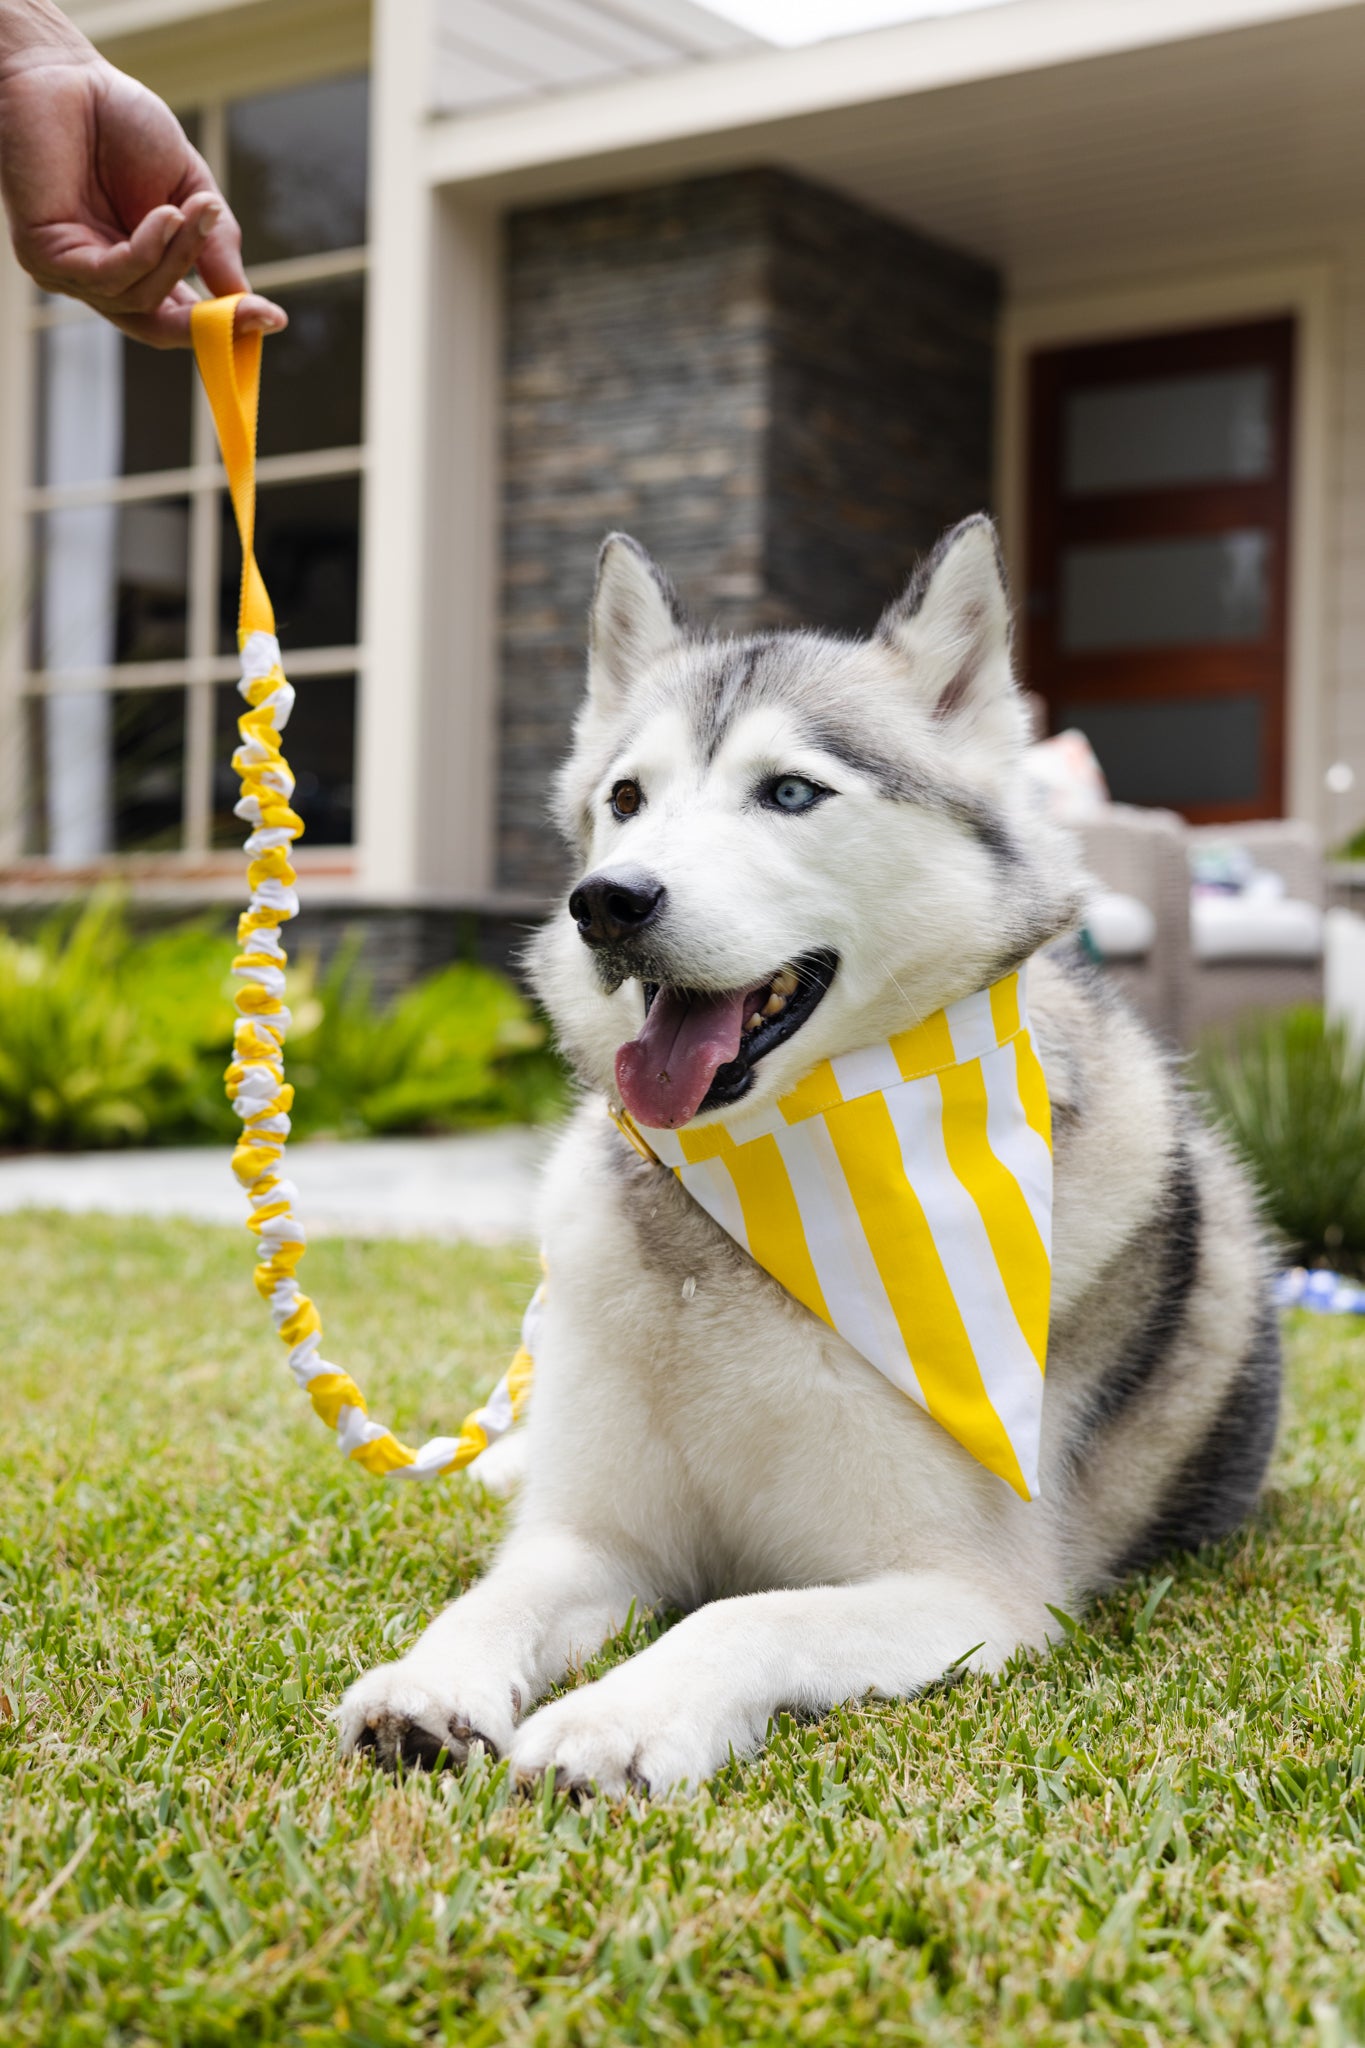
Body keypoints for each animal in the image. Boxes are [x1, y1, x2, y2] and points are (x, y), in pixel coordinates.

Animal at [339, 516, 1285, 1794]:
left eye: (790, 791)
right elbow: (499, 1594)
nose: (606, 900)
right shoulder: (596, 1534)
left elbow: (738, 1611)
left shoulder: (971, 1593)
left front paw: (615, 1719)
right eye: (626, 797)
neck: (751, 1202)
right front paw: (430, 1682)